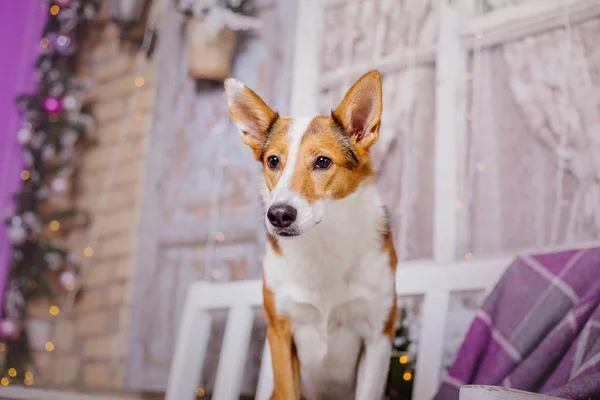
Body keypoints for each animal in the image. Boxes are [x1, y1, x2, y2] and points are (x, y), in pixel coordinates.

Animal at [223, 70, 396, 398]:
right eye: (273, 161)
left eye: (323, 161)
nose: (278, 214)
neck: (322, 243)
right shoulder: (280, 333)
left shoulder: (379, 337)